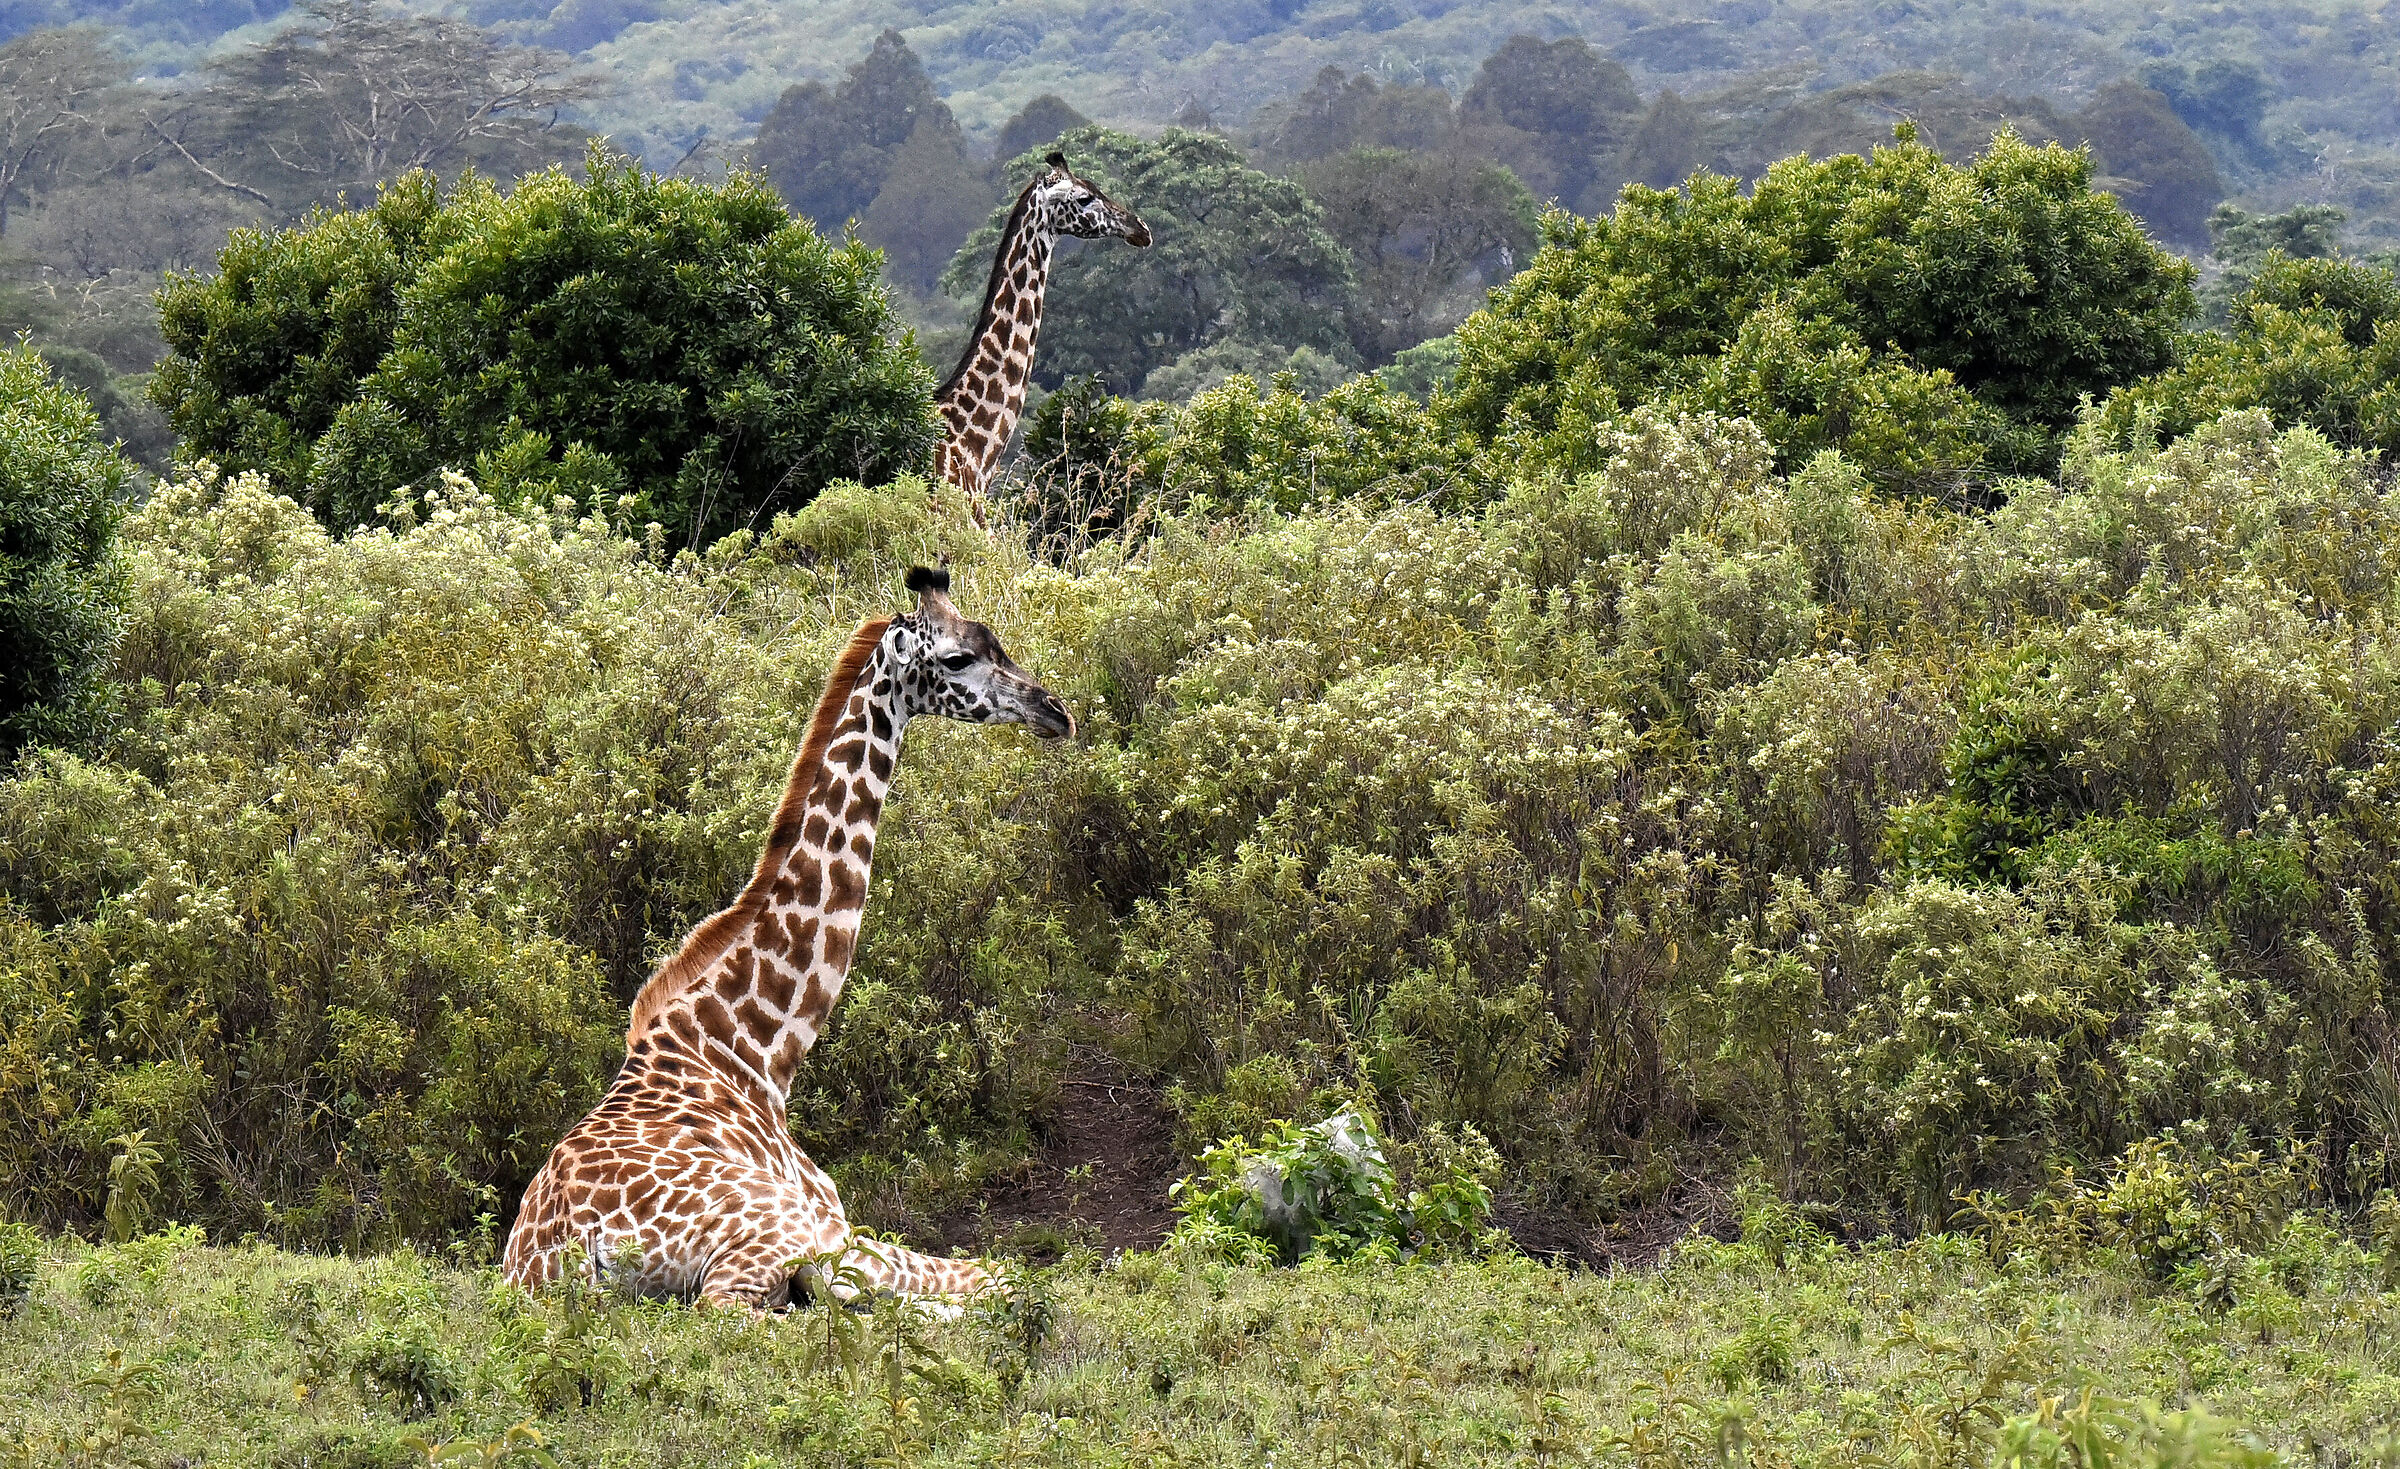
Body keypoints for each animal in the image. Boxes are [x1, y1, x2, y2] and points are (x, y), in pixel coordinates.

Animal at [503, 566, 1075, 1311]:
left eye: (995, 640)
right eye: (956, 659)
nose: (1056, 711)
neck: (756, 1054)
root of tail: (569, 1257)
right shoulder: (830, 1223)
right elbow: (999, 1272)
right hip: (771, 1231)